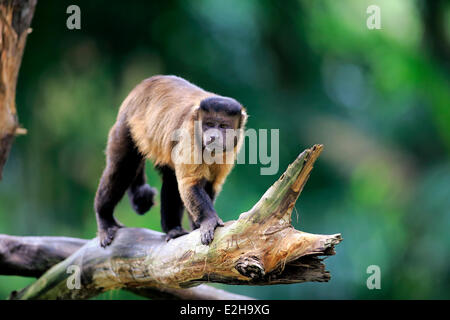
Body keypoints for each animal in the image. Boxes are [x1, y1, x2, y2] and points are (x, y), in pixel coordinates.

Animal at [95, 75, 248, 248]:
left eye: (223, 126)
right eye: (209, 124)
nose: (213, 136)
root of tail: (140, 87)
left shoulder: (232, 147)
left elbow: (209, 184)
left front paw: (196, 225)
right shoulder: (190, 132)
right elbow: (190, 183)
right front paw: (209, 221)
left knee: (171, 178)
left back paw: (173, 229)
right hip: (125, 126)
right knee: (122, 168)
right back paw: (105, 219)